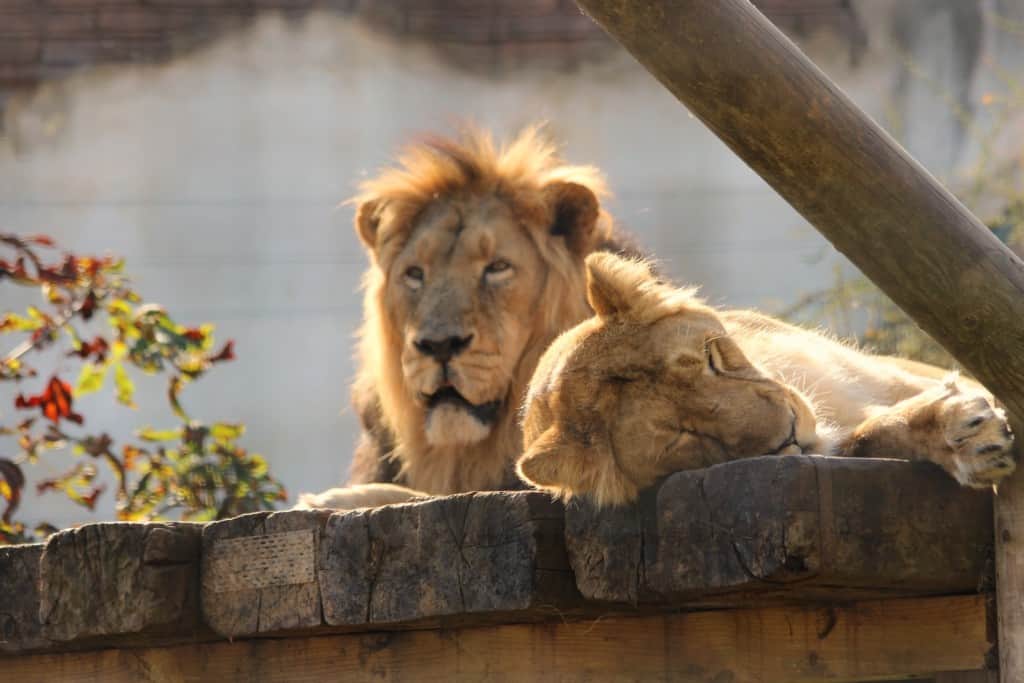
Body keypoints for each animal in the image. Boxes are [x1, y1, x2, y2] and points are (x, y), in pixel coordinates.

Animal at [520, 252, 1015, 507]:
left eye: (711, 357)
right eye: (685, 436)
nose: (791, 434)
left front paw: (963, 428)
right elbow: (869, 437)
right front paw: (963, 437)